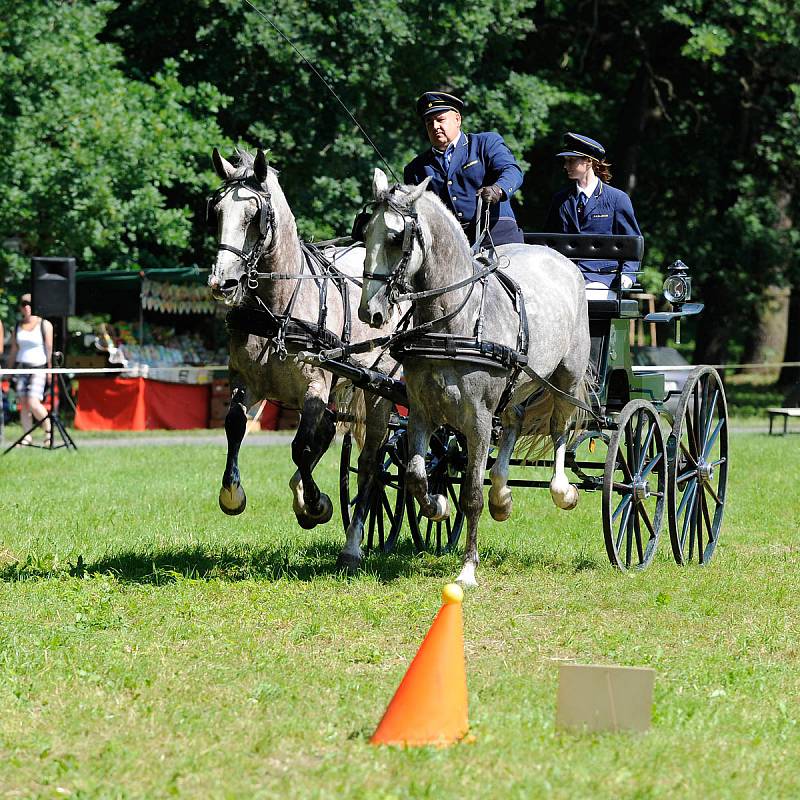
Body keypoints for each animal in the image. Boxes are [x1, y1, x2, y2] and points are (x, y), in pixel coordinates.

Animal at [209, 152, 404, 568]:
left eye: (254, 216)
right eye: (215, 211)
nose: (223, 284)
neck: (278, 308)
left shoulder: (315, 385)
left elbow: (300, 447)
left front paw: (315, 504)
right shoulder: (245, 381)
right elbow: (235, 426)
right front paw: (232, 495)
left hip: (378, 389)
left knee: (371, 463)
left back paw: (352, 545)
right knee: (329, 430)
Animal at [360, 166, 592, 584]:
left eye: (397, 237)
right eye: (365, 230)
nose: (369, 311)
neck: (454, 324)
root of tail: (559, 258)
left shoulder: (480, 419)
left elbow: (470, 492)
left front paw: (467, 568)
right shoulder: (421, 413)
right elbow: (416, 475)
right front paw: (437, 505)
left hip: (566, 378)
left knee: (559, 429)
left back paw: (562, 490)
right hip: (518, 384)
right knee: (514, 421)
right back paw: (502, 497)